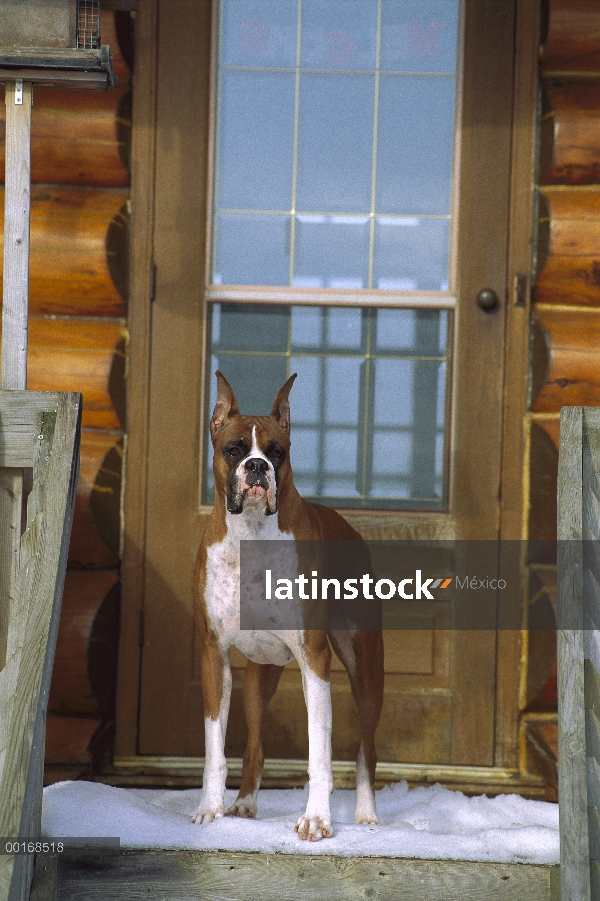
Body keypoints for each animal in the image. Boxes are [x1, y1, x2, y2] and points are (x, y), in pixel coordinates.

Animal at [195, 370, 386, 840]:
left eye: (276, 452)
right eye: (234, 449)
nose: (257, 467)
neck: (252, 532)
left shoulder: (314, 659)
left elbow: (319, 752)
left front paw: (317, 818)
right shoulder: (213, 655)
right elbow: (215, 749)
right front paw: (211, 809)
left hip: (366, 673)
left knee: (366, 750)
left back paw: (366, 814)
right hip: (258, 678)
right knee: (255, 745)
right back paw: (244, 804)